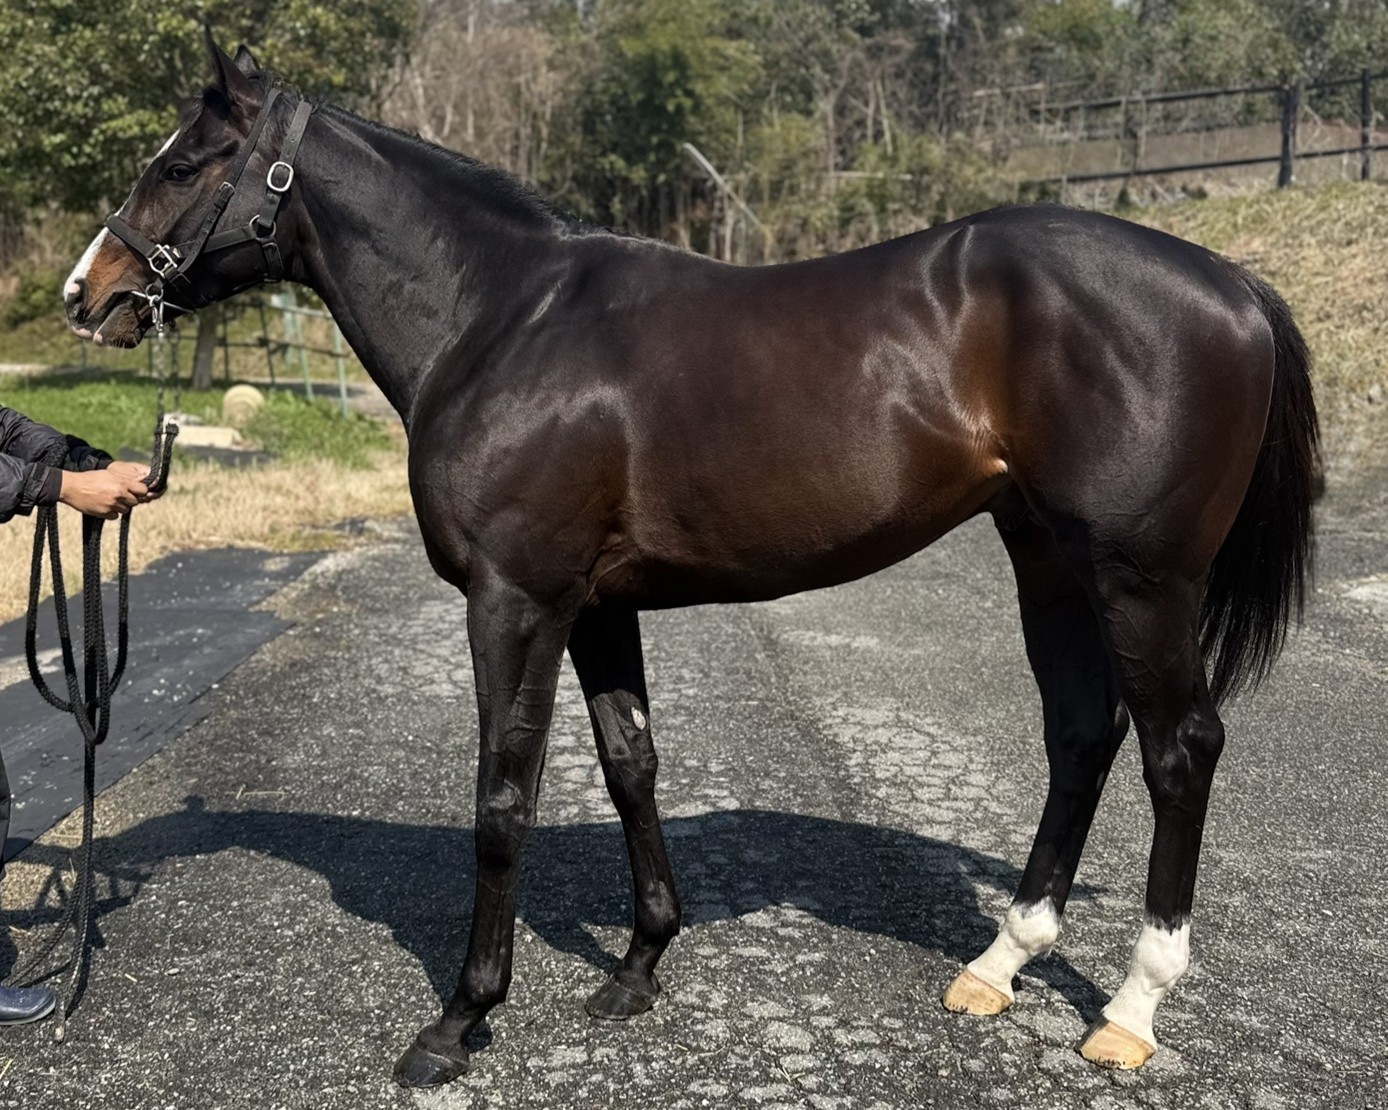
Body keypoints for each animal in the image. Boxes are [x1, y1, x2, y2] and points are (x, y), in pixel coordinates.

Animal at [63, 35, 1318, 1089]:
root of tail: (1232, 284)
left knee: (1176, 750)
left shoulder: (514, 601)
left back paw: (1129, 1012)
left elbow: (501, 799)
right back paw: (998, 967)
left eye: (187, 161)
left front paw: (460, 1020)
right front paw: (635, 969)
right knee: (1078, 735)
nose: (90, 293)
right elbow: (631, 765)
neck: (502, 318)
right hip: (1047, 561)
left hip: (1141, 580)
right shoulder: (594, 606)